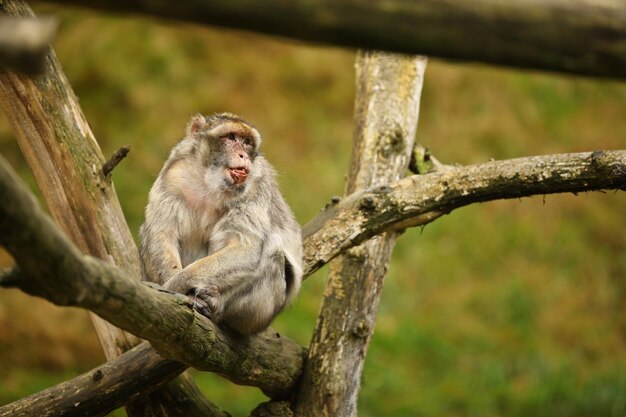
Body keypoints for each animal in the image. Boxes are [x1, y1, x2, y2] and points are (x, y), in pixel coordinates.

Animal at [138, 113, 302, 334]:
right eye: (231, 137)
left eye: (247, 142)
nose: (243, 155)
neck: (211, 184)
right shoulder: (174, 175)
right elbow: (161, 235)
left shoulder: (256, 185)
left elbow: (245, 248)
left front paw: (175, 286)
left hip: (257, 315)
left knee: (271, 251)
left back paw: (215, 305)